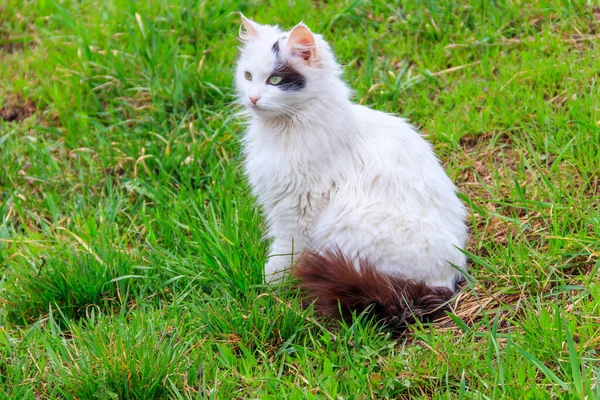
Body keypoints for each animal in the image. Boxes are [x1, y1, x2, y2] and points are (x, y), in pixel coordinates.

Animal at [234, 14, 468, 328]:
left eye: (275, 80)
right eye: (248, 76)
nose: (253, 98)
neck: (282, 130)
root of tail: (446, 282)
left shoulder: (298, 210)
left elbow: (284, 253)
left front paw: (269, 284)